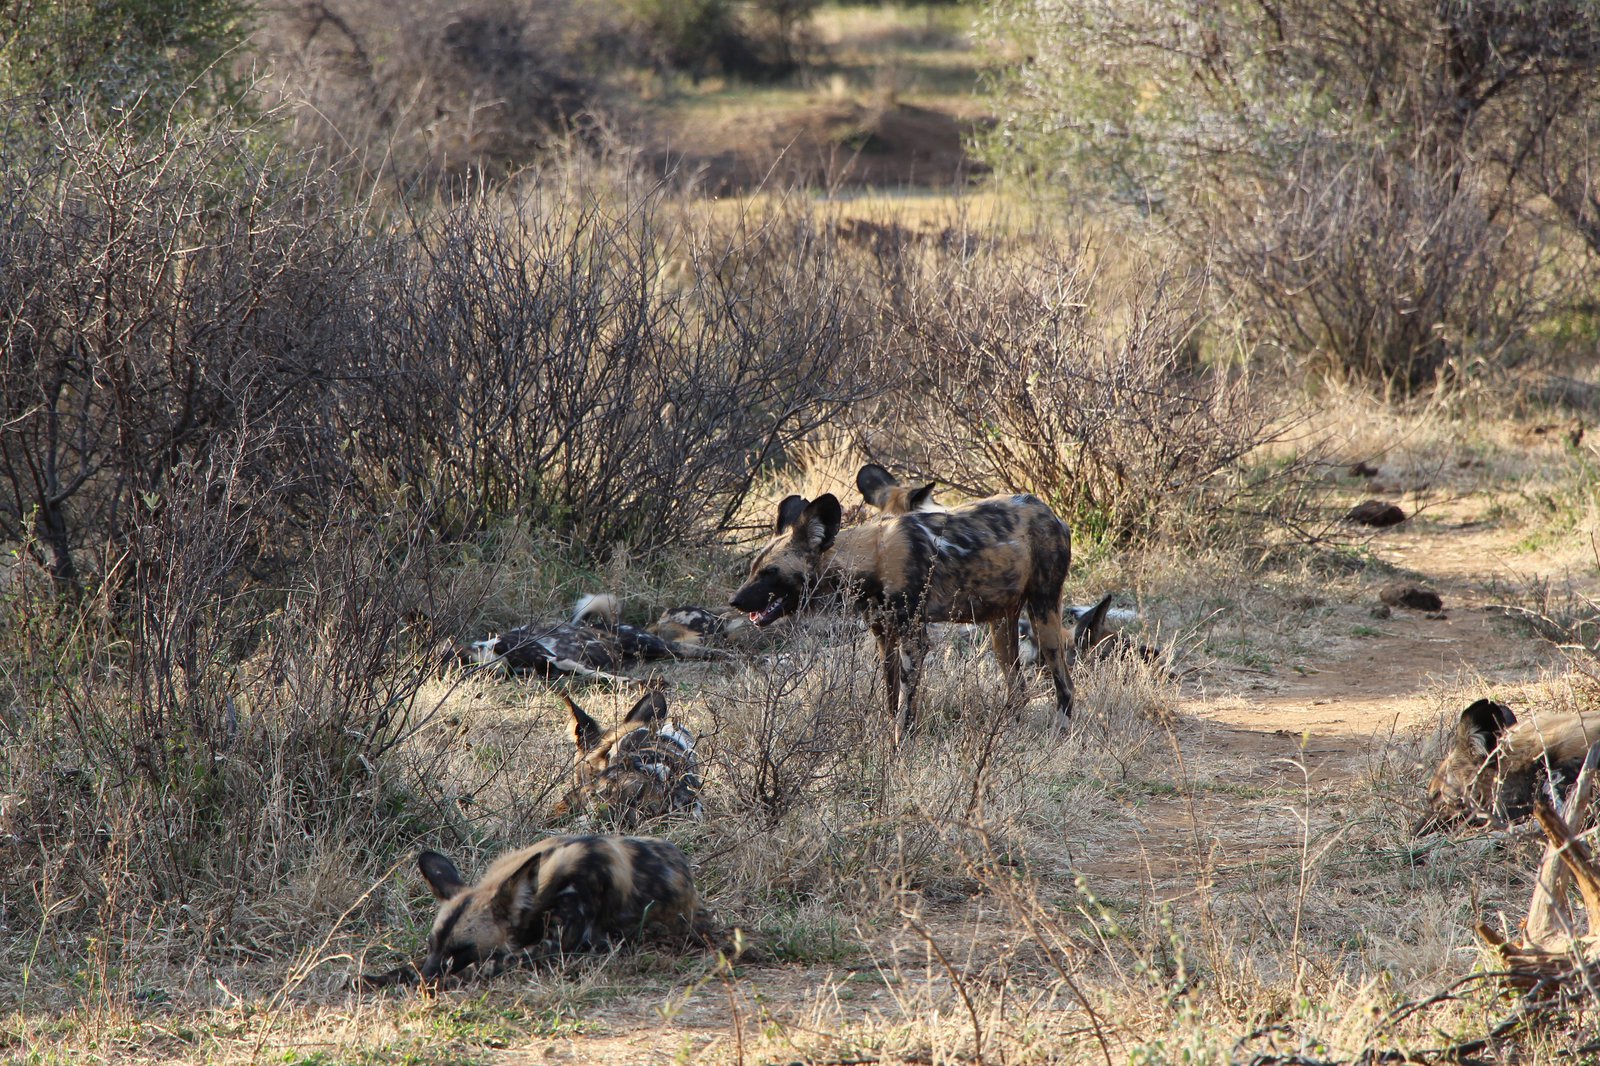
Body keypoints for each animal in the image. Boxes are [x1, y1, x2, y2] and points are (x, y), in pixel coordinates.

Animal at [356, 832, 707, 985]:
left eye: (463, 949)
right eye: (431, 945)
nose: (427, 979)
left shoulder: (557, 947)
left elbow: (487, 964)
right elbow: (407, 965)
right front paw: (375, 978)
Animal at [732, 473, 1068, 736]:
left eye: (770, 572)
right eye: (753, 569)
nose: (734, 601)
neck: (870, 561)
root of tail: (1048, 512)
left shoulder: (914, 640)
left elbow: (905, 709)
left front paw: (900, 749)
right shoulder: (886, 638)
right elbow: (892, 700)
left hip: (1044, 616)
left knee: (1066, 686)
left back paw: (1060, 732)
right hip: (1000, 626)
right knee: (1018, 690)